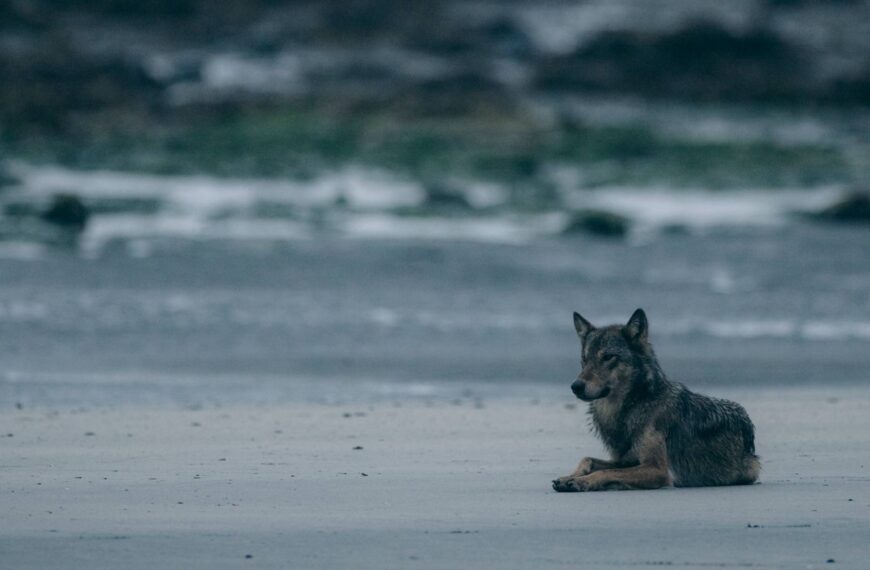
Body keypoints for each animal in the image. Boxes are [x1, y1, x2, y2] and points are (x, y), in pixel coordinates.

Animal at [552, 309, 760, 492]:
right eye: (584, 359)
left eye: (608, 357)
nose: (575, 386)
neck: (632, 407)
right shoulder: (625, 459)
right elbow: (587, 459)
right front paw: (569, 477)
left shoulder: (657, 470)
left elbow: (607, 472)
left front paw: (582, 482)